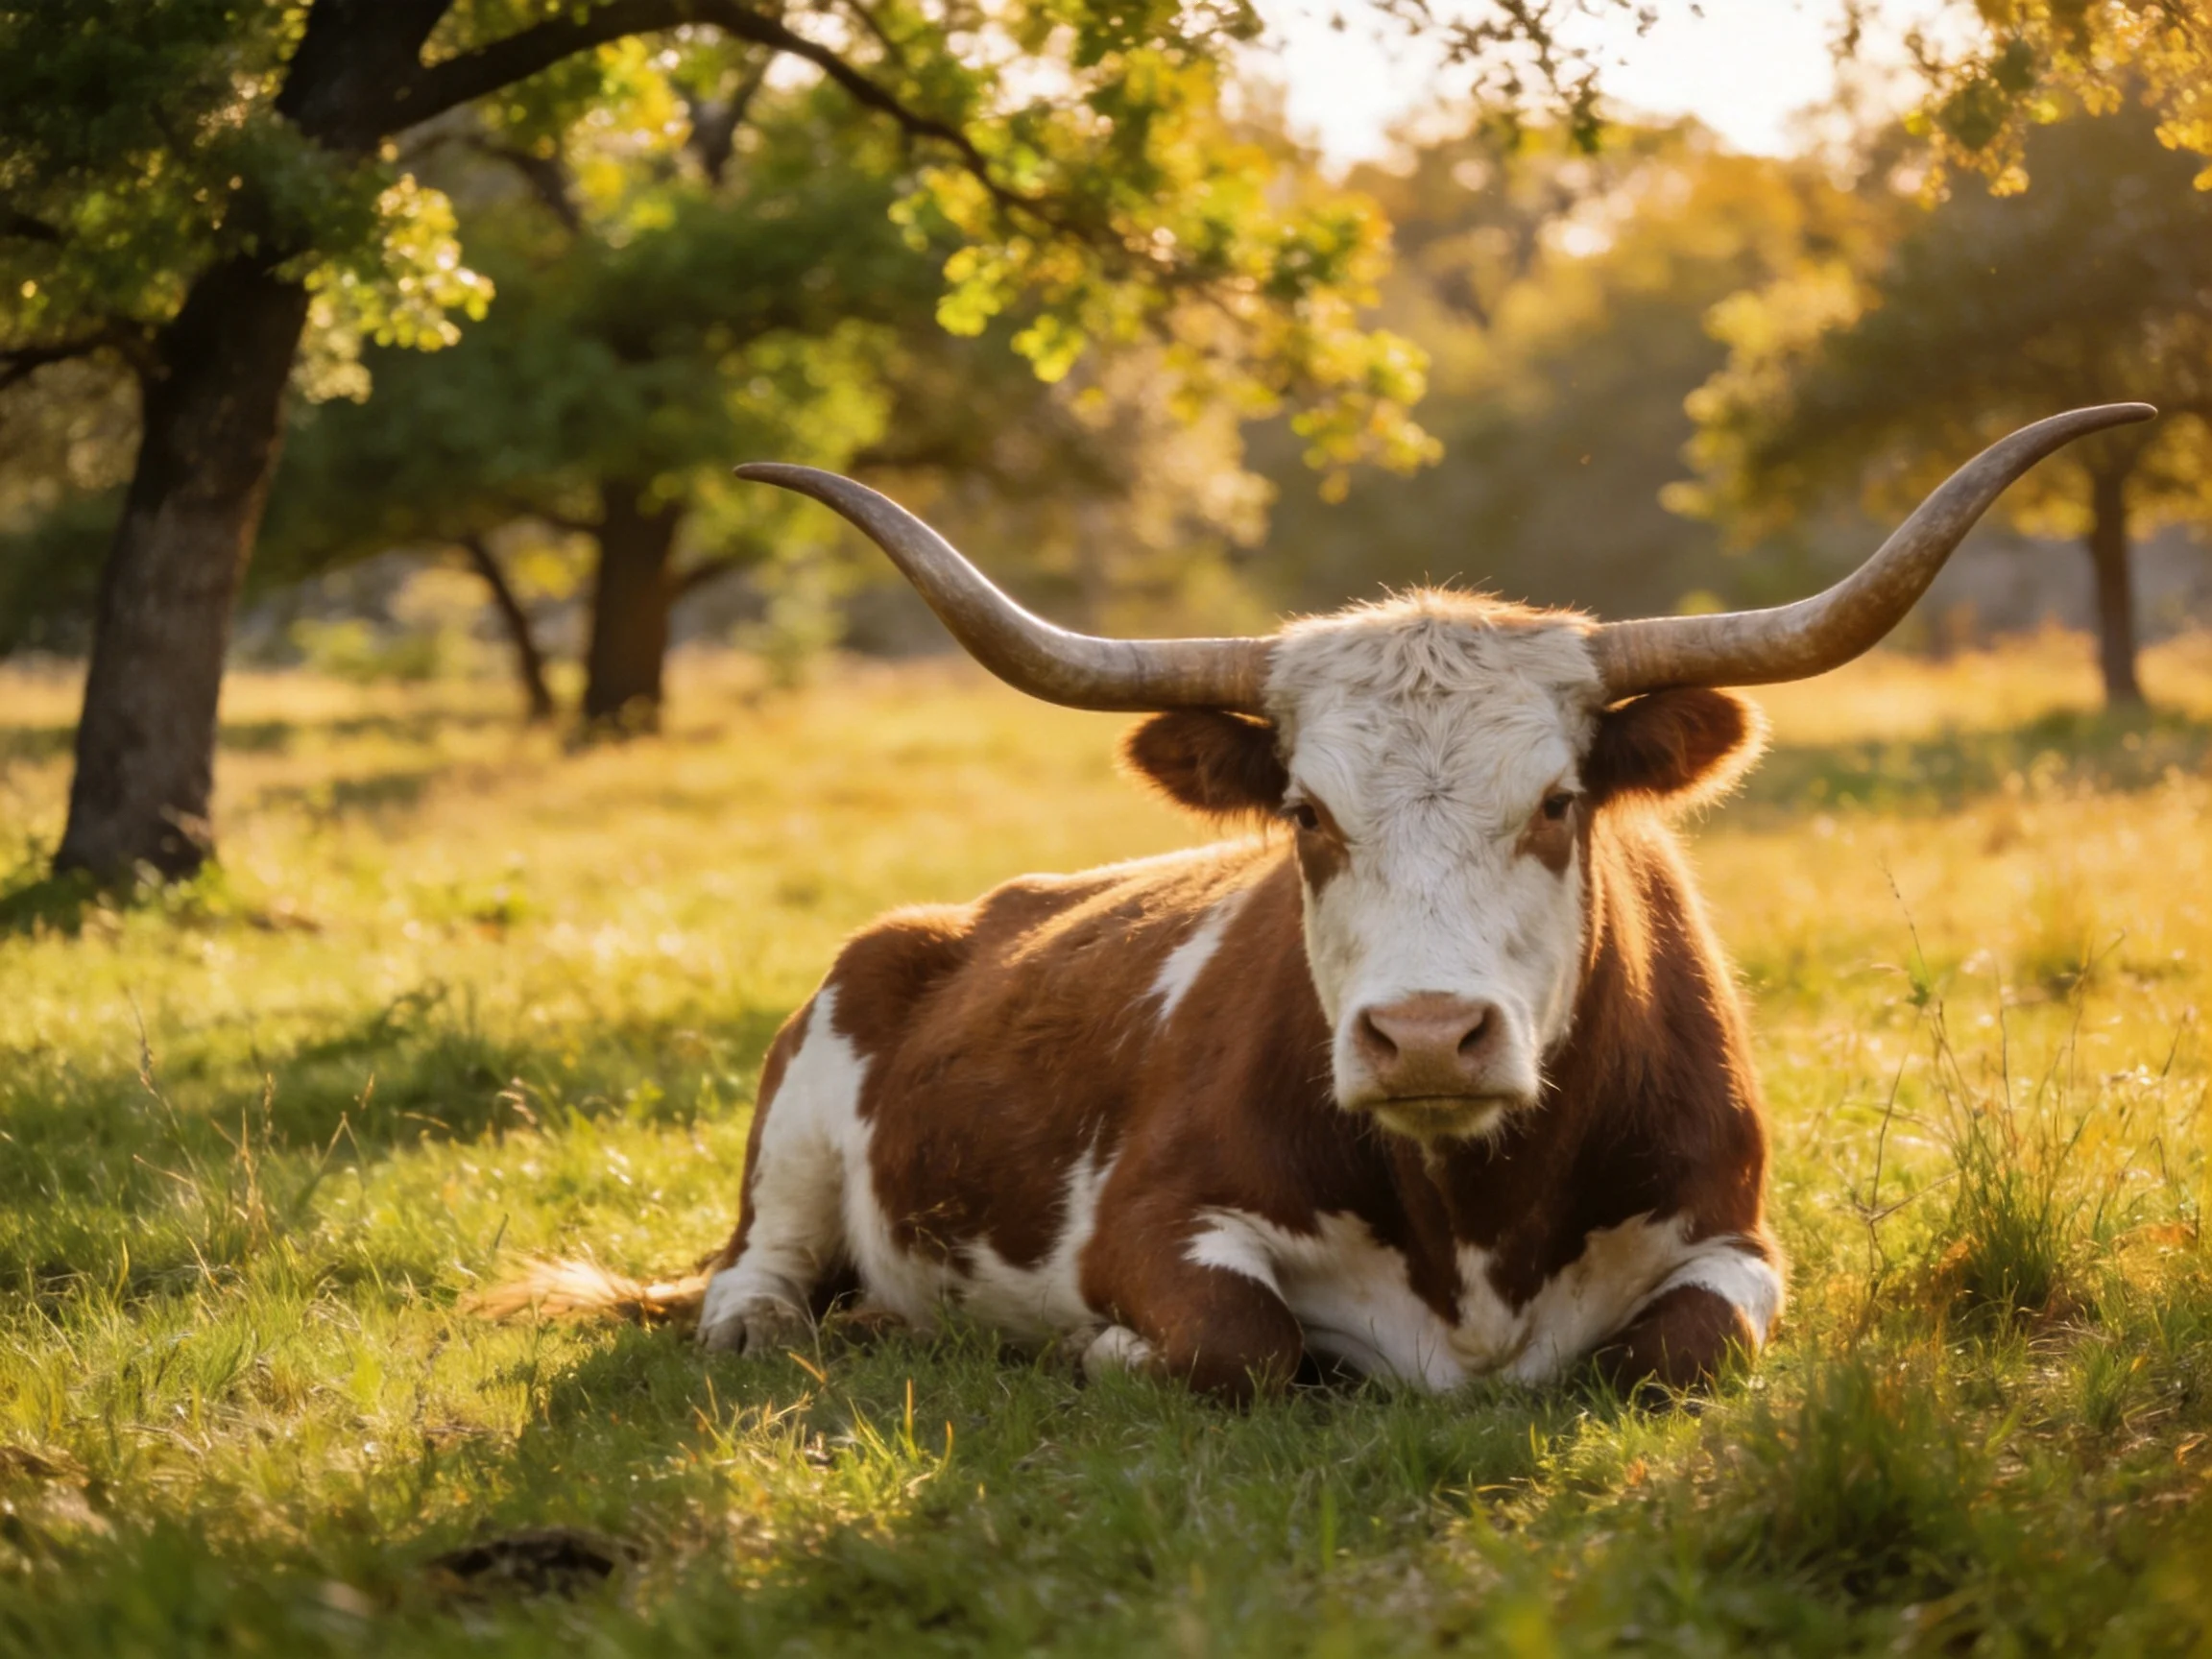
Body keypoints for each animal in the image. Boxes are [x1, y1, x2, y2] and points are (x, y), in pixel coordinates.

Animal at [477, 404, 2151, 1400]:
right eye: (1305, 814)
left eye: (1559, 803)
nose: (1424, 1036)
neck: (1476, 1232)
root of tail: (944, 924)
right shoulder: (1154, 1225)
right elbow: (1244, 1341)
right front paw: (1108, 1353)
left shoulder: (1737, 1235)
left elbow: (1678, 1351)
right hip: (801, 1129)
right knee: (754, 1276)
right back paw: (797, 1321)